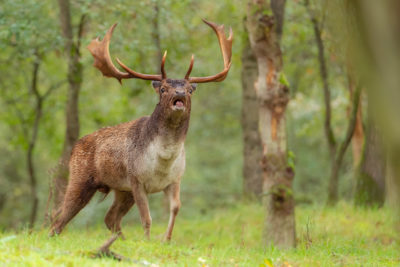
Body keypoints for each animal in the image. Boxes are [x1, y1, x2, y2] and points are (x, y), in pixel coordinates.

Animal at [48, 19, 233, 251]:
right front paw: (147, 241)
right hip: (81, 178)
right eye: (163, 88)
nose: (180, 93)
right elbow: (147, 217)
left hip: (121, 191)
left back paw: (120, 241)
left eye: (189, 89)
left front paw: (166, 239)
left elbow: (175, 208)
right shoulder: (136, 180)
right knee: (59, 218)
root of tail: (74, 147)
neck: (164, 161)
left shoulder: (175, 180)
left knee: (109, 217)